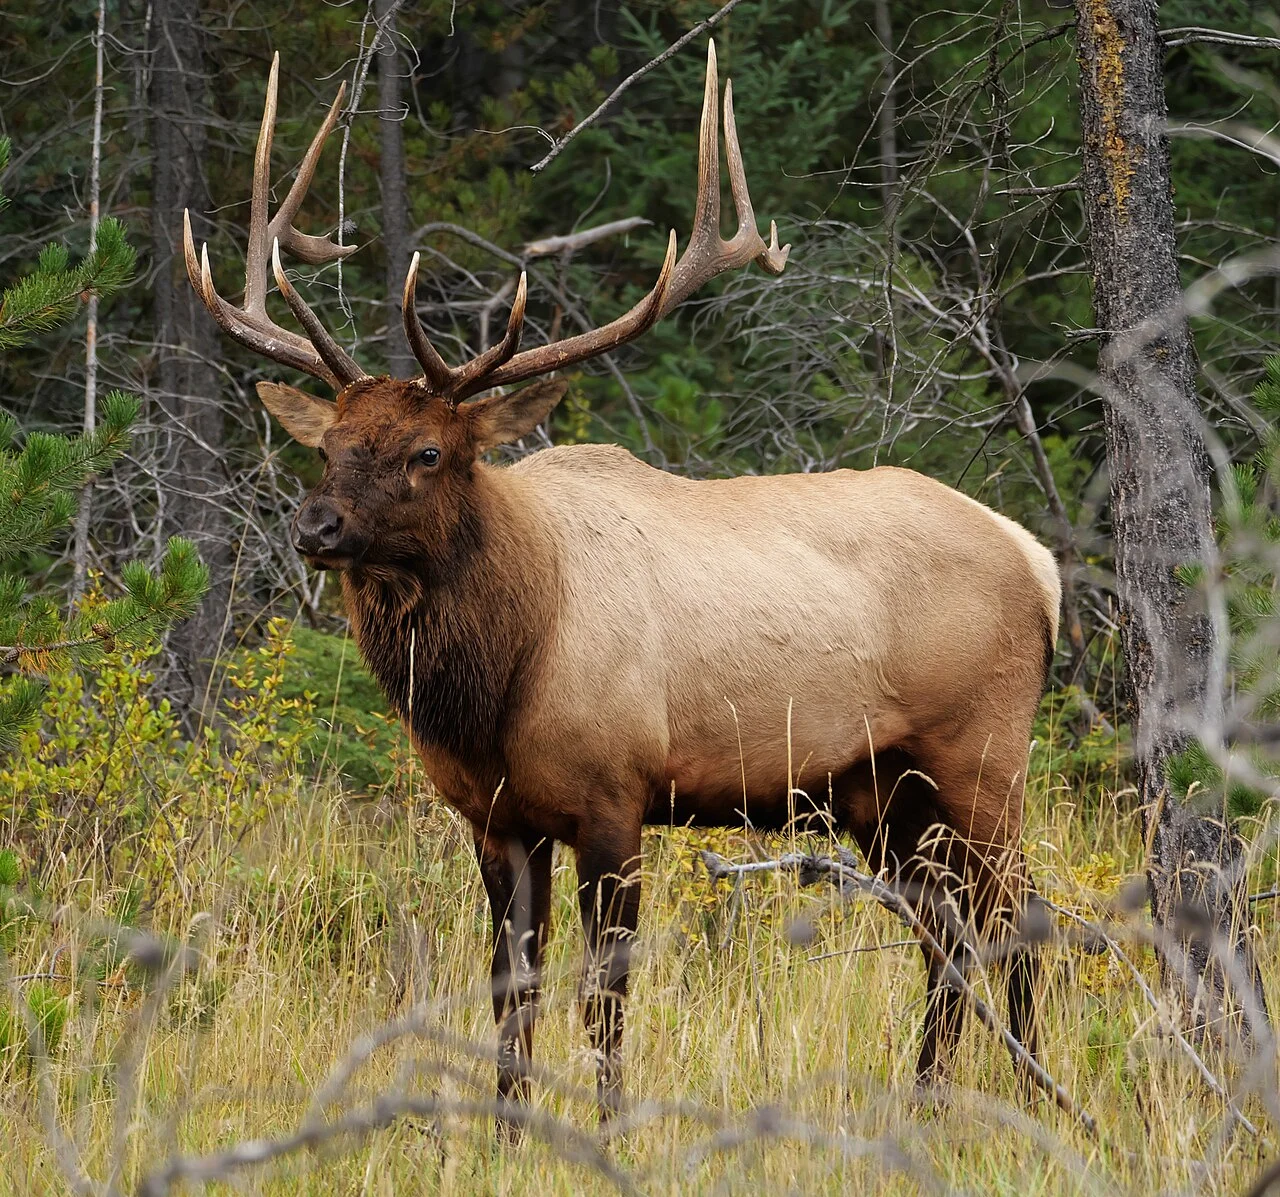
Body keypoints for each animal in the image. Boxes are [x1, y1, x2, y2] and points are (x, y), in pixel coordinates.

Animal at [184, 45, 1061, 1132]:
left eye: (429, 451)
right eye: (330, 444)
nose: (316, 527)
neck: (497, 676)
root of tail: (1037, 561)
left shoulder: (615, 795)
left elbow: (604, 991)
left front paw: (607, 1126)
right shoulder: (495, 819)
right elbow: (511, 988)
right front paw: (506, 1128)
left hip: (982, 754)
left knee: (1019, 916)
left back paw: (1033, 1103)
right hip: (880, 788)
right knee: (944, 932)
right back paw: (928, 1102)